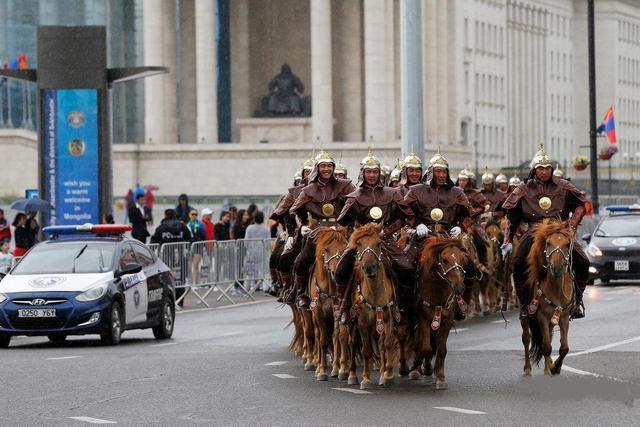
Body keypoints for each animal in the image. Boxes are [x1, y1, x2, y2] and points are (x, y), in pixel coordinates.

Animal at [308, 227, 348, 382]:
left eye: (344, 249)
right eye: (326, 249)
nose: (337, 271)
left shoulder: (338, 312)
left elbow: (339, 338)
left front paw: (340, 369)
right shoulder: (319, 314)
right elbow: (323, 340)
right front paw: (322, 371)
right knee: (319, 336)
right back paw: (317, 366)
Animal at [342, 224, 398, 392]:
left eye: (379, 243)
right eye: (359, 244)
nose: (369, 268)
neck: (374, 293)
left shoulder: (387, 318)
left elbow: (387, 343)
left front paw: (387, 375)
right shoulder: (362, 323)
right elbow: (366, 350)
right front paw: (365, 379)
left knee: (380, 344)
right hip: (353, 323)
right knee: (352, 342)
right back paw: (352, 375)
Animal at [410, 239, 470, 390]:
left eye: (462, 259)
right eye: (444, 259)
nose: (460, 288)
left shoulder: (446, 321)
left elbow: (441, 350)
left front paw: (440, 377)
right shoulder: (423, 320)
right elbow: (426, 348)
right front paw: (426, 369)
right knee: (419, 343)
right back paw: (416, 369)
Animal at [520, 222, 576, 376]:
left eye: (566, 244)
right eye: (548, 243)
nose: (556, 268)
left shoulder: (563, 316)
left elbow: (564, 348)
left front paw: (555, 367)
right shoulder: (542, 316)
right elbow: (546, 347)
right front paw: (550, 370)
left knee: (549, 337)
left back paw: (548, 366)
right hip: (525, 314)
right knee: (527, 338)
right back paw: (528, 369)